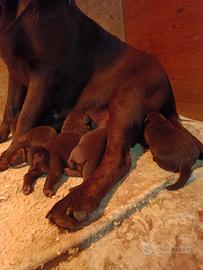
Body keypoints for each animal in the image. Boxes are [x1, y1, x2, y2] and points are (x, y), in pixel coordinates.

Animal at [0, 1, 179, 231]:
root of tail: (165, 78)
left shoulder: (43, 74)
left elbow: (24, 120)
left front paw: (9, 155)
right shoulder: (14, 72)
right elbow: (10, 111)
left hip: (127, 96)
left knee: (117, 160)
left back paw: (72, 203)